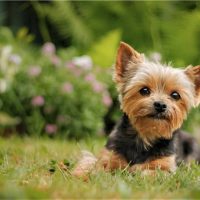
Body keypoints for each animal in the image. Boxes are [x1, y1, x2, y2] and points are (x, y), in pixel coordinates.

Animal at [72, 41, 200, 180]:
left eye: (175, 95)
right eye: (144, 90)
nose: (160, 105)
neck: (144, 135)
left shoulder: (166, 166)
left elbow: (151, 172)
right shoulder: (109, 155)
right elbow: (92, 164)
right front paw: (84, 174)